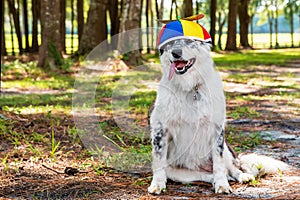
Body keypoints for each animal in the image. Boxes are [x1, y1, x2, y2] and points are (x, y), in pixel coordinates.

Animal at [148, 15, 290, 194]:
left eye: (189, 41)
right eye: (170, 44)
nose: (176, 53)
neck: (190, 87)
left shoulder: (216, 130)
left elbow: (219, 163)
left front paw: (222, 185)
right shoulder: (160, 128)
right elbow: (159, 161)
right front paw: (157, 184)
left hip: (227, 150)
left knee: (232, 169)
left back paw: (241, 176)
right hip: (177, 172)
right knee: (205, 175)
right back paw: (214, 179)